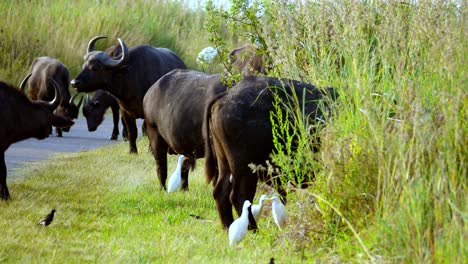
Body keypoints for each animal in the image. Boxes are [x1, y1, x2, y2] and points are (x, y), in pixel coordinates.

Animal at [205, 76, 336, 229]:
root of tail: (226, 96)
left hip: (224, 162)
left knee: (221, 192)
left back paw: (228, 227)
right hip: (245, 168)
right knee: (239, 196)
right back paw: (253, 229)